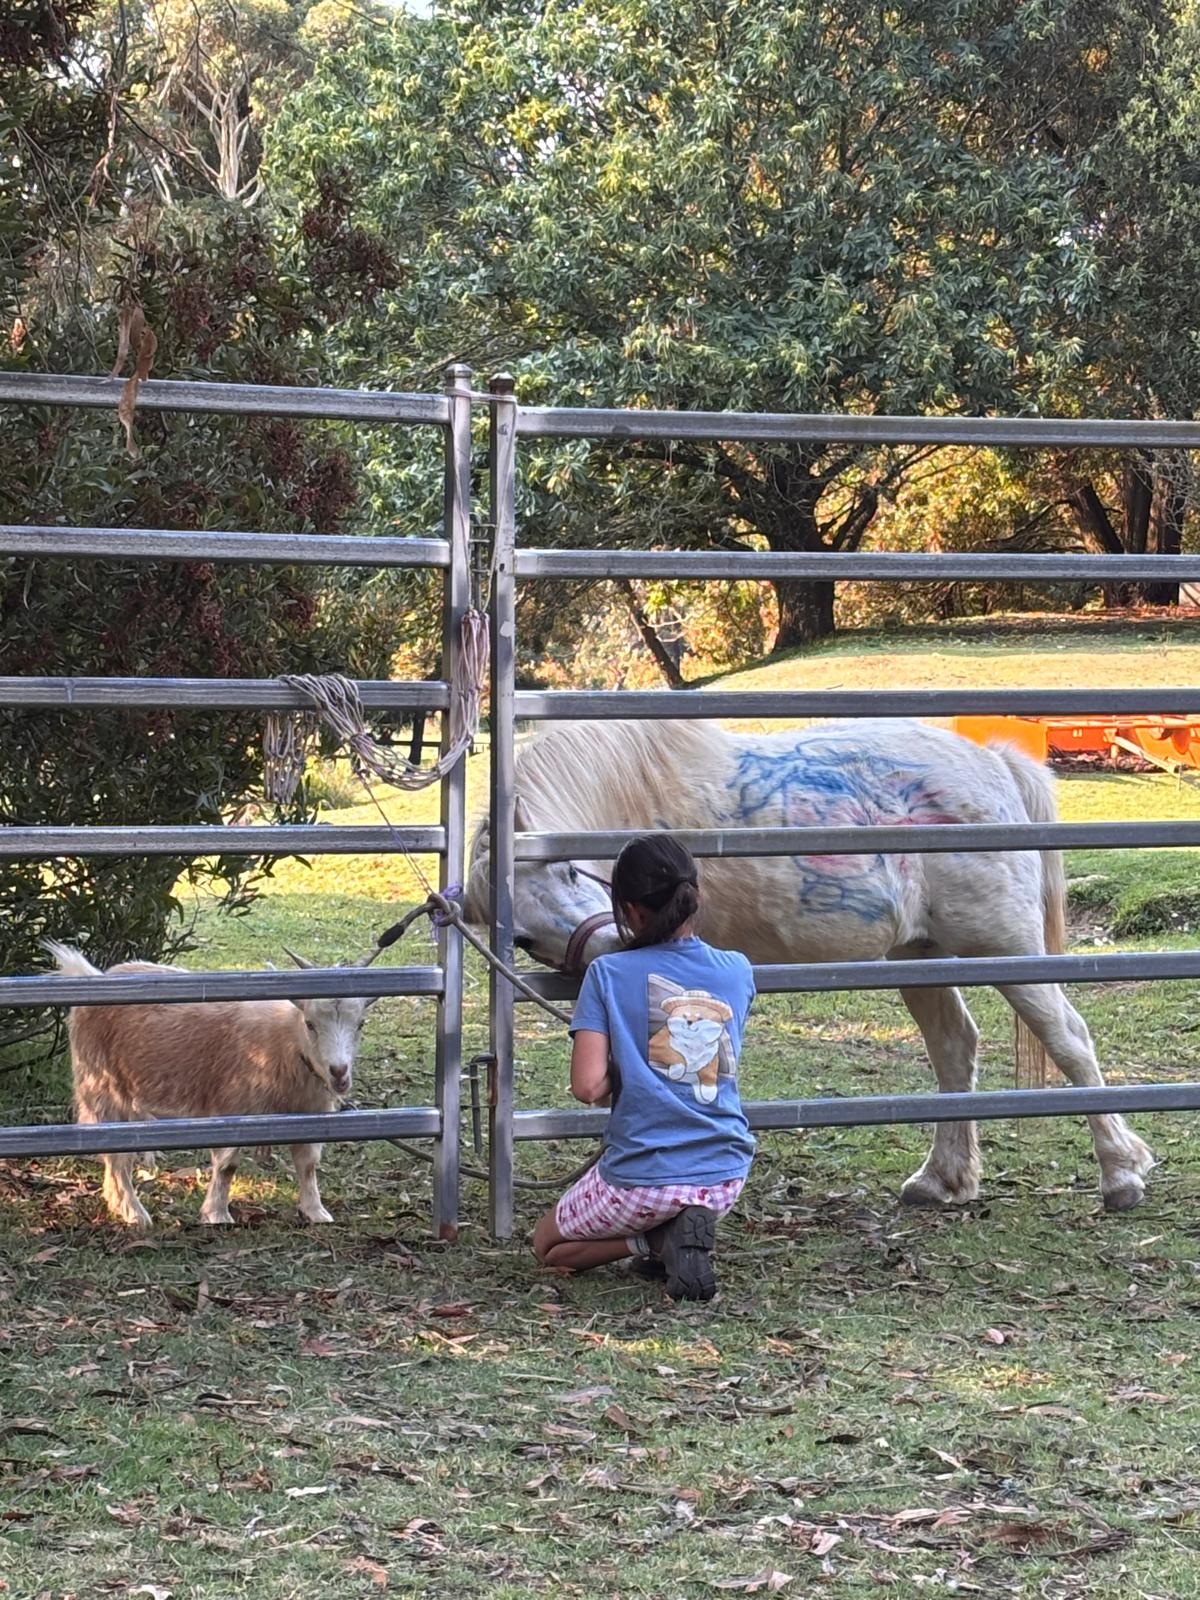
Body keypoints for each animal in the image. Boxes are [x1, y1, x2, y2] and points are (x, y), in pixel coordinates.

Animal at [464, 718, 1154, 1213]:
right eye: (521, 938)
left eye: (564, 870)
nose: (611, 949)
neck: (629, 797)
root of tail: (992, 764)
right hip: (919, 956)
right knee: (955, 1047)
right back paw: (943, 1180)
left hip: (1005, 947)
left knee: (1067, 1037)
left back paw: (1121, 1173)